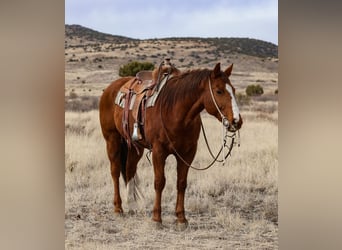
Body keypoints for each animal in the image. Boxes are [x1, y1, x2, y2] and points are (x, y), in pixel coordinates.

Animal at [99, 62, 243, 229]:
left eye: (233, 90)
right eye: (219, 91)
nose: (236, 121)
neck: (176, 112)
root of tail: (110, 88)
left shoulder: (187, 153)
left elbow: (181, 183)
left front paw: (181, 218)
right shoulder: (158, 152)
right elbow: (159, 182)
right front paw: (156, 218)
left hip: (136, 146)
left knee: (129, 169)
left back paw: (133, 205)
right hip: (112, 139)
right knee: (115, 171)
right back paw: (118, 208)